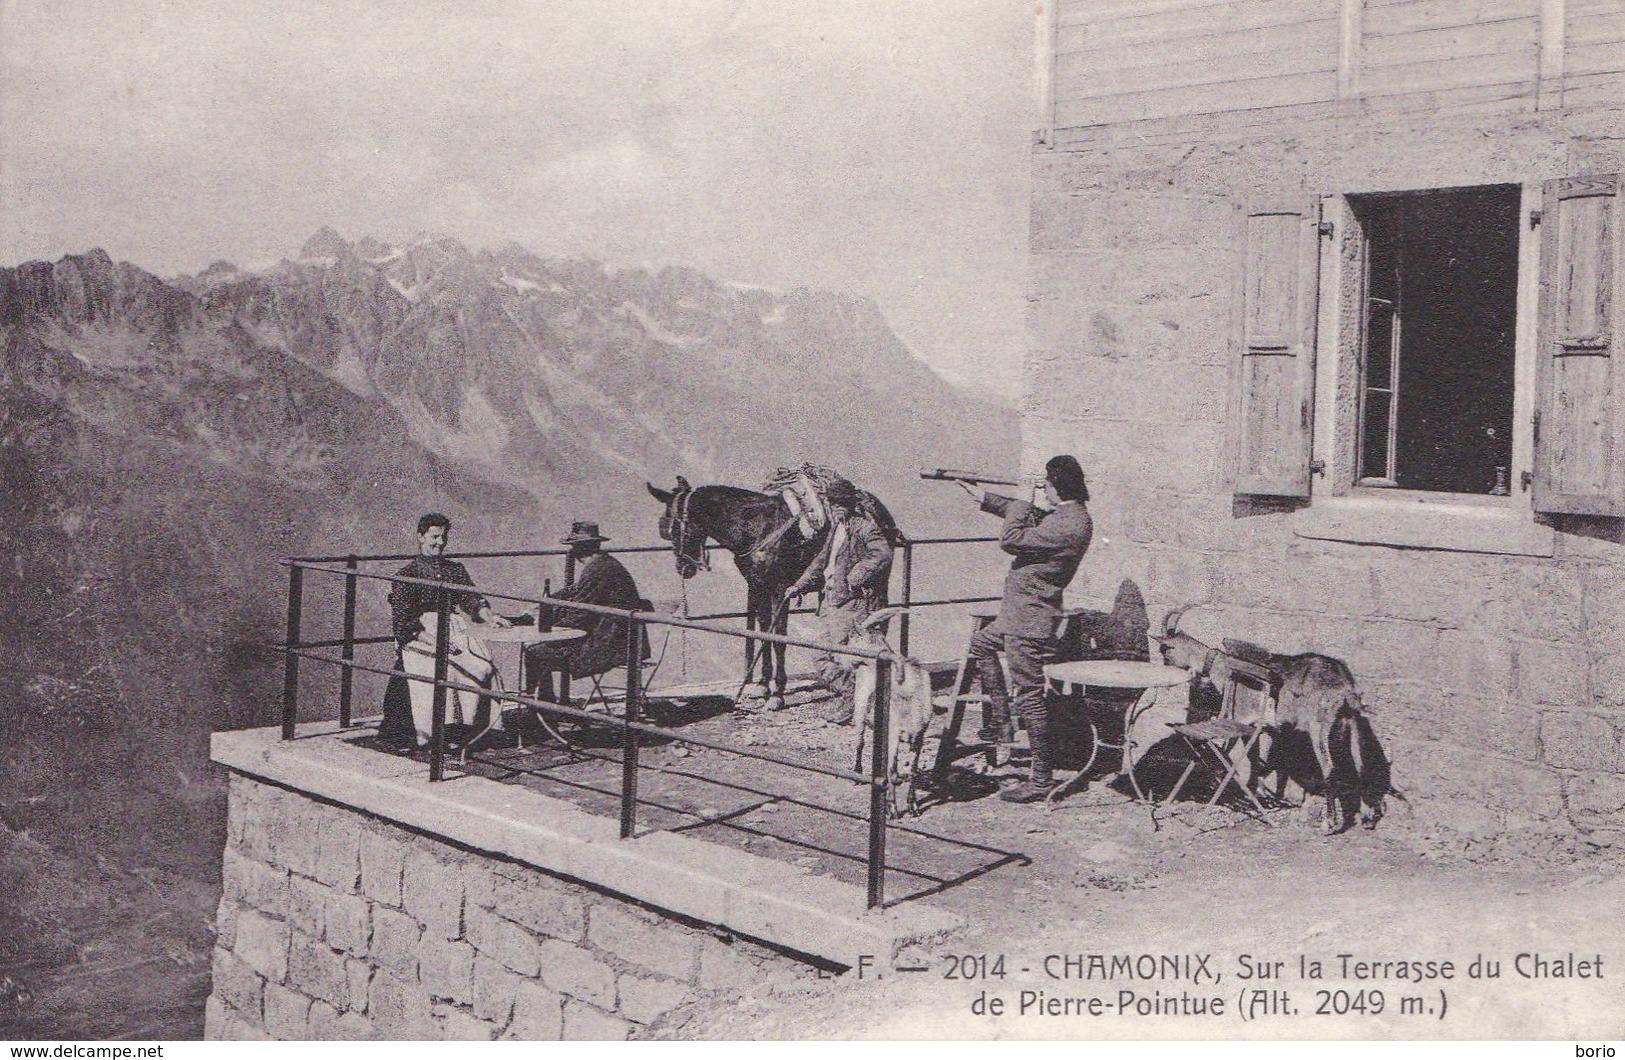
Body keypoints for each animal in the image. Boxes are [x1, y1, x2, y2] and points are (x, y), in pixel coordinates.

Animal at [851, 604, 942, 819]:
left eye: (853, 639)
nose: (834, 656)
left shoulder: (918, 735)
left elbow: (912, 771)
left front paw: (913, 806)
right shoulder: (892, 734)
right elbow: (890, 771)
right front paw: (892, 809)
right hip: (860, 711)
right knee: (860, 741)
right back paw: (857, 774)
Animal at [1150, 608, 1391, 832]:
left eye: (1165, 651)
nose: (1164, 677)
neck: (1223, 666)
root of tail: (1345, 686)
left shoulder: (1241, 719)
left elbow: (1234, 754)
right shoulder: (1263, 727)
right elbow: (1258, 760)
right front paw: (1259, 792)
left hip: (1320, 726)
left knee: (1329, 768)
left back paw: (1329, 823)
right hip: (1348, 725)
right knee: (1359, 765)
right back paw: (1366, 817)